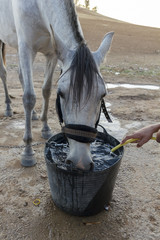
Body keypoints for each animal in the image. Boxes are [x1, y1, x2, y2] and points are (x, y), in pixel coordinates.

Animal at [0, 0, 114, 170]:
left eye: (102, 95)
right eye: (61, 94)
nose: (80, 161)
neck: (39, 6)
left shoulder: (52, 53)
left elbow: (46, 90)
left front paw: (45, 128)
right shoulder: (26, 48)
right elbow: (29, 97)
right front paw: (28, 151)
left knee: (21, 76)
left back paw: (33, 114)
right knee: (4, 73)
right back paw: (8, 107)